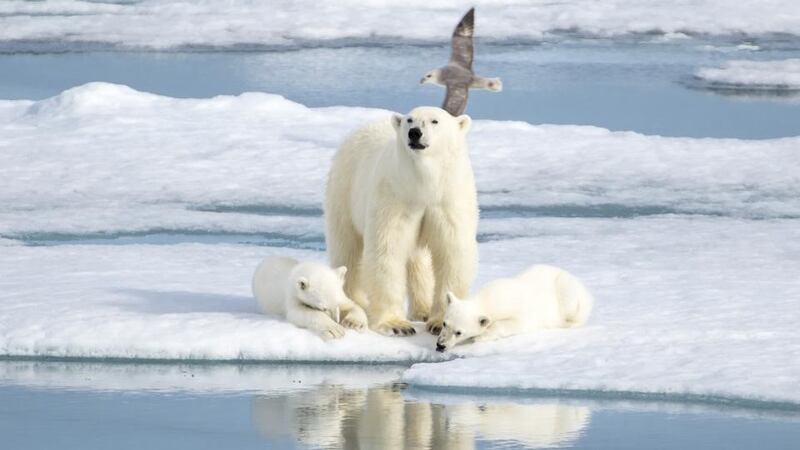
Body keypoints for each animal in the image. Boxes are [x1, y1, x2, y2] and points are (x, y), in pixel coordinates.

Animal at [325, 106, 479, 337]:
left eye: (435, 121)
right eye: (409, 120)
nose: (414, 133)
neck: (423, 186)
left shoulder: (447, 200)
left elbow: (451, 252)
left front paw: (438, 322)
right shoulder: (395, 197)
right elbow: (387, 250)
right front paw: (396, 325)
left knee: (418, 259)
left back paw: (422, 310)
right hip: (344, 193)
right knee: (347, 251)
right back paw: (354, 311)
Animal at [436, 264, 593, 351]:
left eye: (459, 332)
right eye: (444, 323)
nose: (440, 345)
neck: (491, 298)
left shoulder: (522, 311)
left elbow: (516, 323)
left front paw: (481, 336)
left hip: (566, 290)